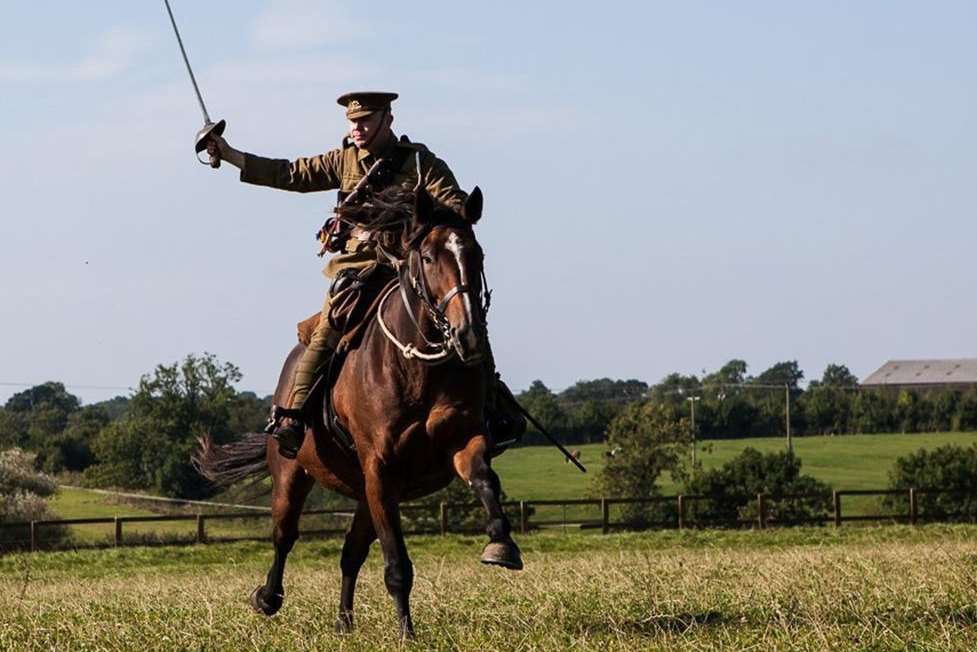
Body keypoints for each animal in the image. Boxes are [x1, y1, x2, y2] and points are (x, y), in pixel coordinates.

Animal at [193, 186, 524, 640]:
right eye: (427, 257)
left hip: (369, 494)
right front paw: (406, 635)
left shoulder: (459, 440)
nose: (468, 333)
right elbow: (397, 564)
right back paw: (268, 597)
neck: (415, 362)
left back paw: (344, 621)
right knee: (284, 535)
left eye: (477, 254)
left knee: (349, 553)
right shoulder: (380, 469)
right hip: (294, 475)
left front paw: (501, 543)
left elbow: (484, 478)